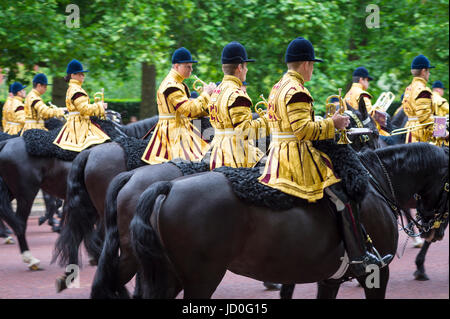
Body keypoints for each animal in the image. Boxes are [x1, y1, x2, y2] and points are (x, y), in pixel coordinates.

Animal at [124, 144, 446, 298]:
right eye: (448, 183)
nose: (435, 231)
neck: (376, 184)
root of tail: (169, 186)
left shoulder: (329, 280)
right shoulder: (376, 274)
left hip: (169, 276)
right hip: (201, 279)